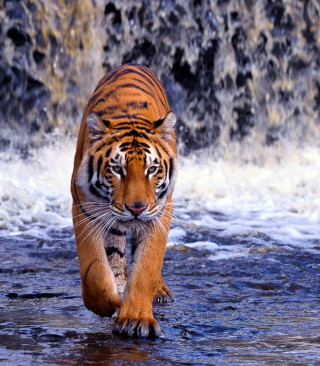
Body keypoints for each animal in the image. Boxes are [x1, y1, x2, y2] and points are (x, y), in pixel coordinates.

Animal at [70, 63, 178, 338]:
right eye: (117, 169)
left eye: (152, 169)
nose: (136, 208)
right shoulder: (85, 209)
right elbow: (95, 270)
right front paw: (108, 303)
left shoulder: (160, 212)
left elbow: (146, 267)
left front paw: (136, 319)